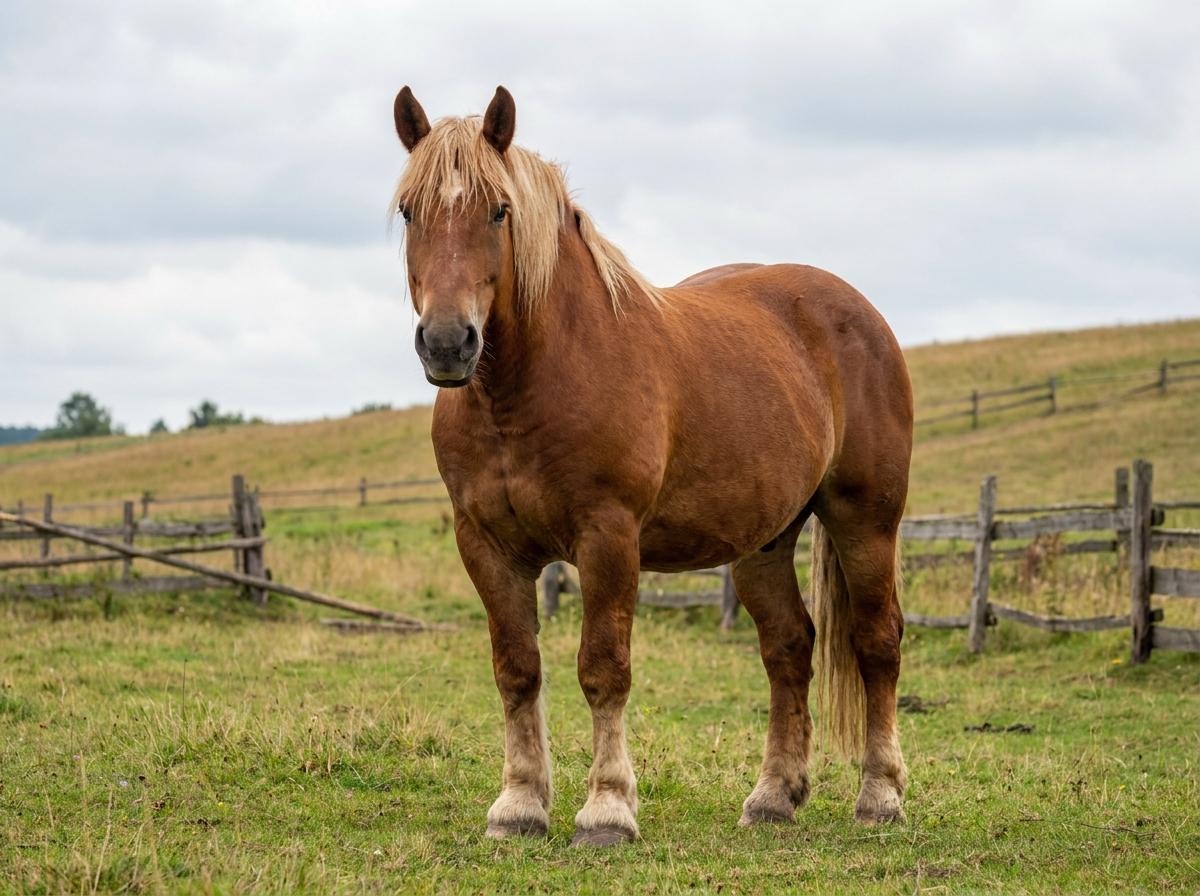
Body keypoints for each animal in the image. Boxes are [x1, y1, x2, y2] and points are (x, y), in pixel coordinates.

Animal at [390, 86, 913, 847]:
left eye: (499, 209)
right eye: (409, 210)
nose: (448, 342)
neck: (527, 387)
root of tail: (859, 313)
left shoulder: (608, 537)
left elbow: (603, 669)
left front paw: (607, 809)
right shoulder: (486, 545)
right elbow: (517, 670)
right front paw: (518, 805)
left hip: (865, 521)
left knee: (877, 642)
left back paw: (881, 796)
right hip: (764, 543)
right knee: (789, 649)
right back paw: (772, 797)